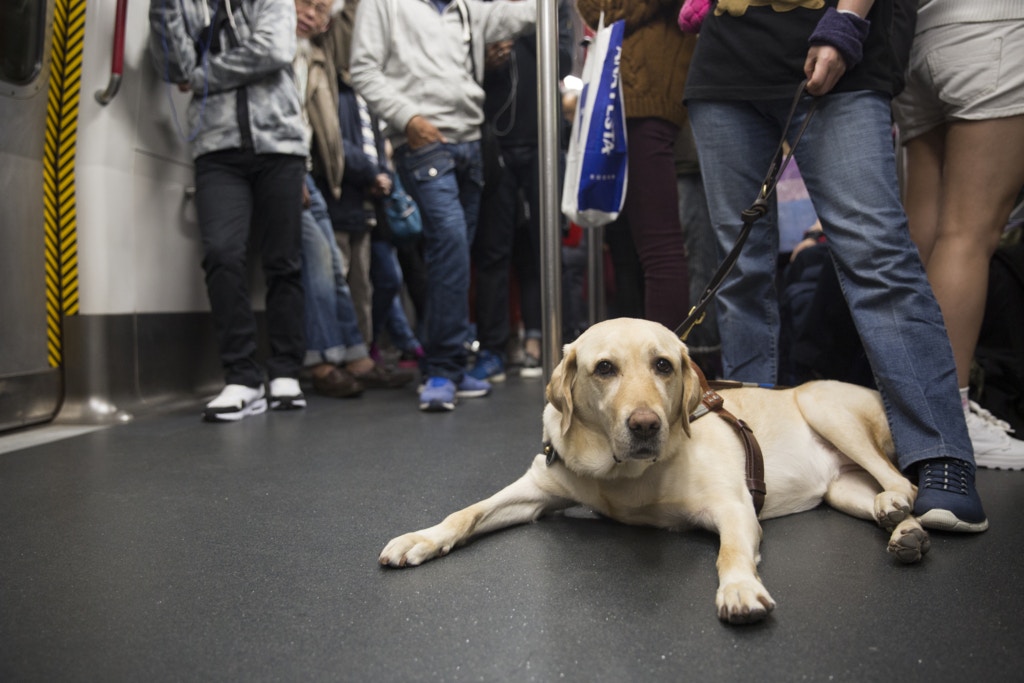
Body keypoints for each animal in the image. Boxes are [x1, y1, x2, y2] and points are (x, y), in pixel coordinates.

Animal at [380, 317, 933, 622]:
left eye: (664, 365)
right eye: (604, 368)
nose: (645, 425)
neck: (619, 475)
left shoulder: (734, 507)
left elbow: (730, 552)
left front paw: (739, 588)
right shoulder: (535, 489)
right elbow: (466, 512)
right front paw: (421, 539)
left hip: (823, 406)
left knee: (903, 481)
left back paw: (898, 511)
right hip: (841, 487)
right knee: (889, 495)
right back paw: (901, 528)